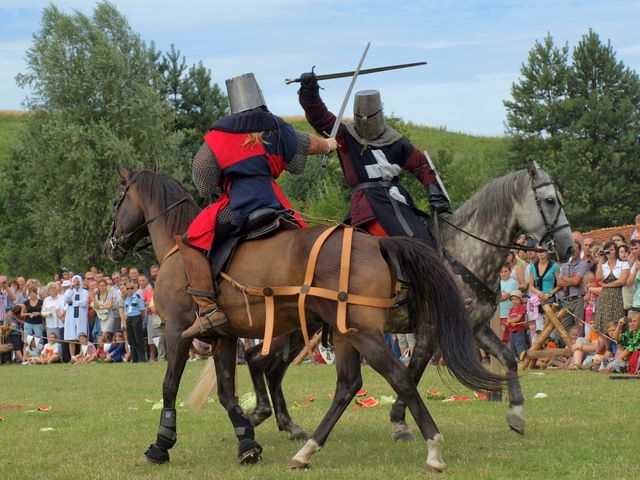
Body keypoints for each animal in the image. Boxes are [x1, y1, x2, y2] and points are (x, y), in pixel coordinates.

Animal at [102, 166, 502, 472]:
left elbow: (170, 386)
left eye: (118, 198)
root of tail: (377, 244)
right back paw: (303, 448)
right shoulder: (224, 336)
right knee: (343, 384)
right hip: (340, 333)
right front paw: (247, 442)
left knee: (398, 377)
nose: (111, 245)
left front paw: (161, 444)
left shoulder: (177, 331)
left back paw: (432, 448)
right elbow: (227, 391)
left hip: (359, 333)